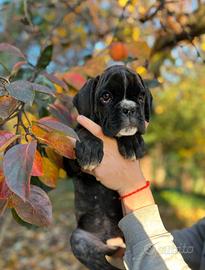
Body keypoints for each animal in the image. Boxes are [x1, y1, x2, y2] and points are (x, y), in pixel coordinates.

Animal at [64, 64, 152, 268]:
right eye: (106, 96)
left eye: (141, 97)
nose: (129, 108)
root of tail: (112, 241)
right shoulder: (69, 164)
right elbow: (83, 131)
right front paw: (89, 148)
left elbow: (133, 137)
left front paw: (131, 142)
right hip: (80, 240)